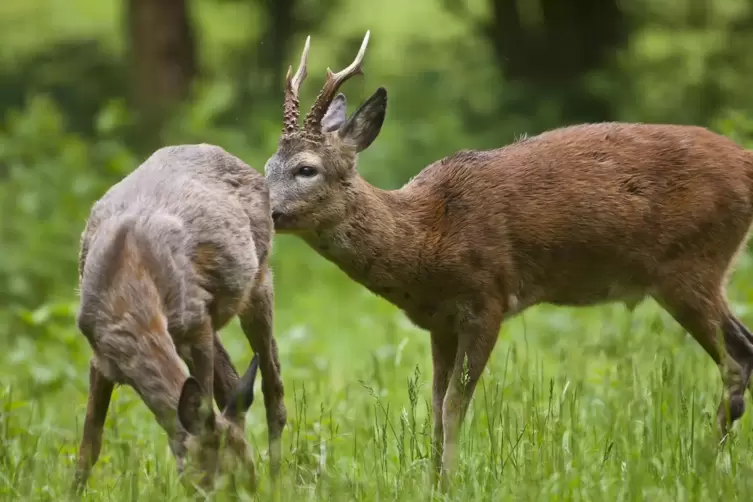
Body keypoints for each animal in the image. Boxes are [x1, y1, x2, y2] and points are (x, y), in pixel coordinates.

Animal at [74, 143, 284, 492]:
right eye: (221, 482)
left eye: (248, 477)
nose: (253, 489)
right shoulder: (100, 357)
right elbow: (89, 447)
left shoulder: (196, 331)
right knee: (234, 386)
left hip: (259, 281)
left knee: (273, 387)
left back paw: (283, 477)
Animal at [266, 32, 753, 482]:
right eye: (268, 166)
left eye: (306, 169)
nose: (263, 208)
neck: (426, 238)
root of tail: (746, 162)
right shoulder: (439, 322)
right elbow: (435, 405)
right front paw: (432, 480)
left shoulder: (487, 299)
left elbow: (454, 405)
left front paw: (450, 481)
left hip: (692, 265)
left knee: (736, 358)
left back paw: (707, 462)